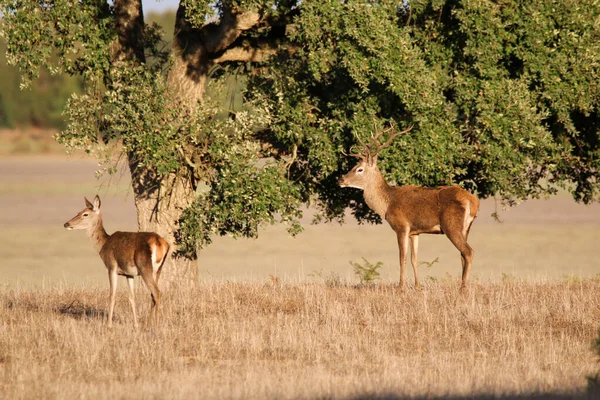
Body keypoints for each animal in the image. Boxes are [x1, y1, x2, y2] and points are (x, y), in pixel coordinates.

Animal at [63, 195, 169, 328]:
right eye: (79, 212)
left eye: (85, 214)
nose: (66, 224)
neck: (103, 245)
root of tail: (161, 243)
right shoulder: (129, 274)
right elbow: (132, 297)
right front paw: (135, 325)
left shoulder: (111, 267)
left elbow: (112, 295)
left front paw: (108, 325)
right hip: (158, 269)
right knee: (152, 295)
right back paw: (148, 324)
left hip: (145, 267)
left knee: (157, 292)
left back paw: (156, 326)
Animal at [340, 119, 480, 290]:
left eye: (359, 169)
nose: (341, 180)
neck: (387, 203)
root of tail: (473, 201)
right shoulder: (415, 232)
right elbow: (414, 259)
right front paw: (418, 286)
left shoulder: (401, 227)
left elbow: (402, 259)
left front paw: (400, 287)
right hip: (466, 228)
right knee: (462, 255)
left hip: (451, 225)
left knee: (468, 252)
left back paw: (462, 288)